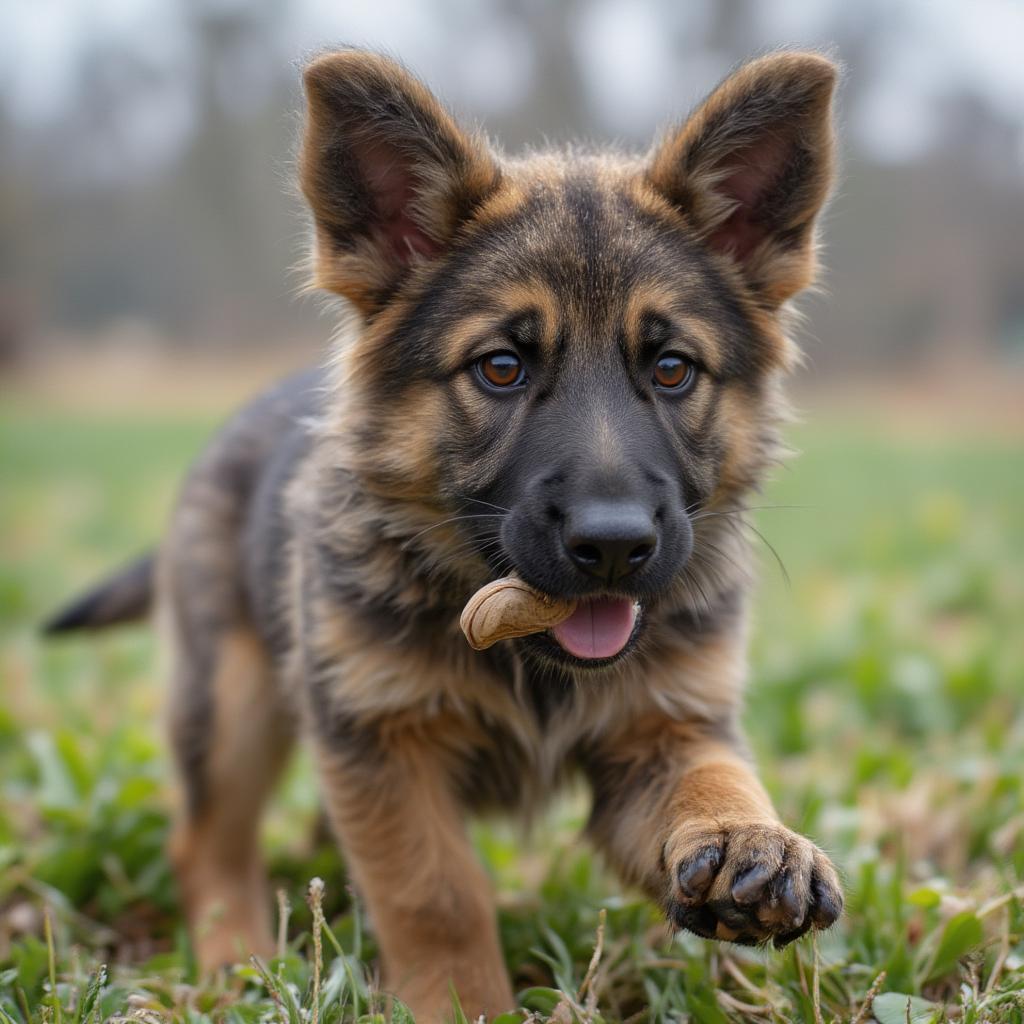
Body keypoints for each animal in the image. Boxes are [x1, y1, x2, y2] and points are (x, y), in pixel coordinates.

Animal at [49, 46, 839, 1015]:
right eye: (500, 368)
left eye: (671, 368)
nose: (615, 546)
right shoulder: (383, 745)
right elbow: (437, 895)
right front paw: (465, 1004)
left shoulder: (662, 732)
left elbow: (715, 776)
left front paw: (749, 839)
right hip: (230, 702)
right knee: (205, 843)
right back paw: (238, 964)